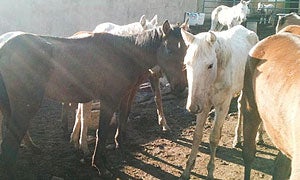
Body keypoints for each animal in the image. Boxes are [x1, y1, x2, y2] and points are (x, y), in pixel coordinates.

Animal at [0, 20, 188, 178]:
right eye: (170, 49)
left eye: (187, 50)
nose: (181, 88)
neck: (123, 54)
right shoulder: (109, 100)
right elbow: (102, 132)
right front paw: (100, 166)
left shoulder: (123, 97)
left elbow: (118, 122)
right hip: (25, 107)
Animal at [180, 25, 258, 179]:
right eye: (187, 64)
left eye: (210, 65)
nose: (192, 107)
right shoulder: (203, 105)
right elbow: (197, 136)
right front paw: (187, 170)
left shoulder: (222, 106)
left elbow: (214, 138)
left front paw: (210, 172)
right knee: (240, 106)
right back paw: (237, 139)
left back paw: (257, 137)